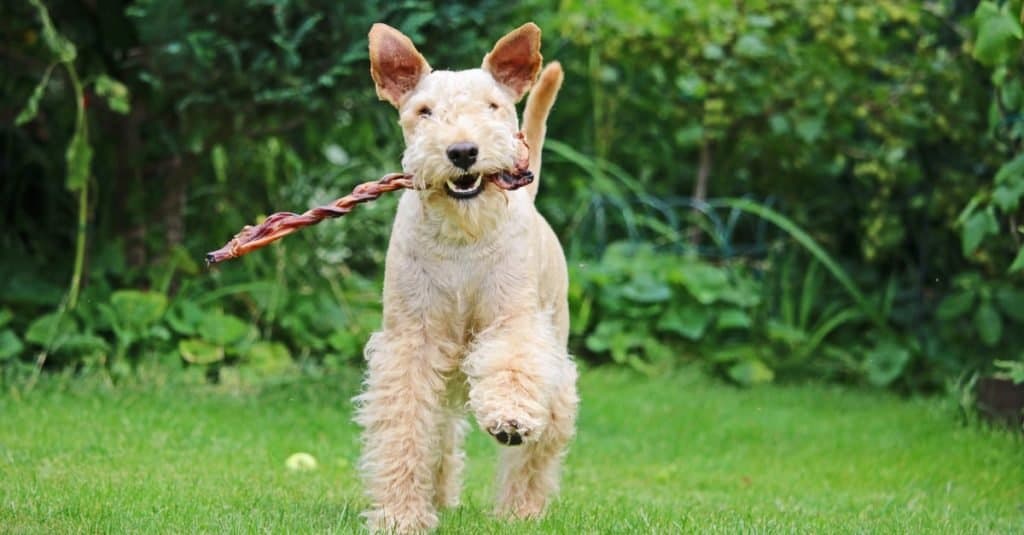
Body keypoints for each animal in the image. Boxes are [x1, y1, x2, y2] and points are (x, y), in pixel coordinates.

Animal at [350, 20, 577, 528]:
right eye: (424, 111)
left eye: (492, 106)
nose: (462, 152)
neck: (463, 237)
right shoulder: (412, 340)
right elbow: (406, 424)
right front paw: (401, 516)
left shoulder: (513, 320)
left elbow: (513, 365)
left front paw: (509, 418)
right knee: (442, 430)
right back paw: (437, 496)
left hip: (554, 354)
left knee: (541, 444)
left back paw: (520, 509)